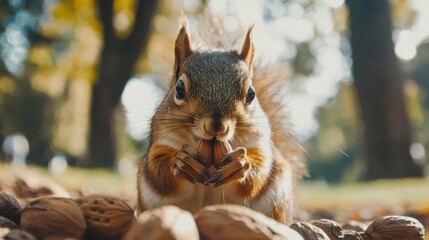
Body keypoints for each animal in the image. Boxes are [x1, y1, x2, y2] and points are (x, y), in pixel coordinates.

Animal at [135, 17, 302, 225]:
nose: (217, 127)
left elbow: (259, 171)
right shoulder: (162, 140)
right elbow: (158, 170)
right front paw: (181, 162)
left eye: (251, 94)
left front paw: (240, 165)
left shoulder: (258, 142)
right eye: (179, 88)